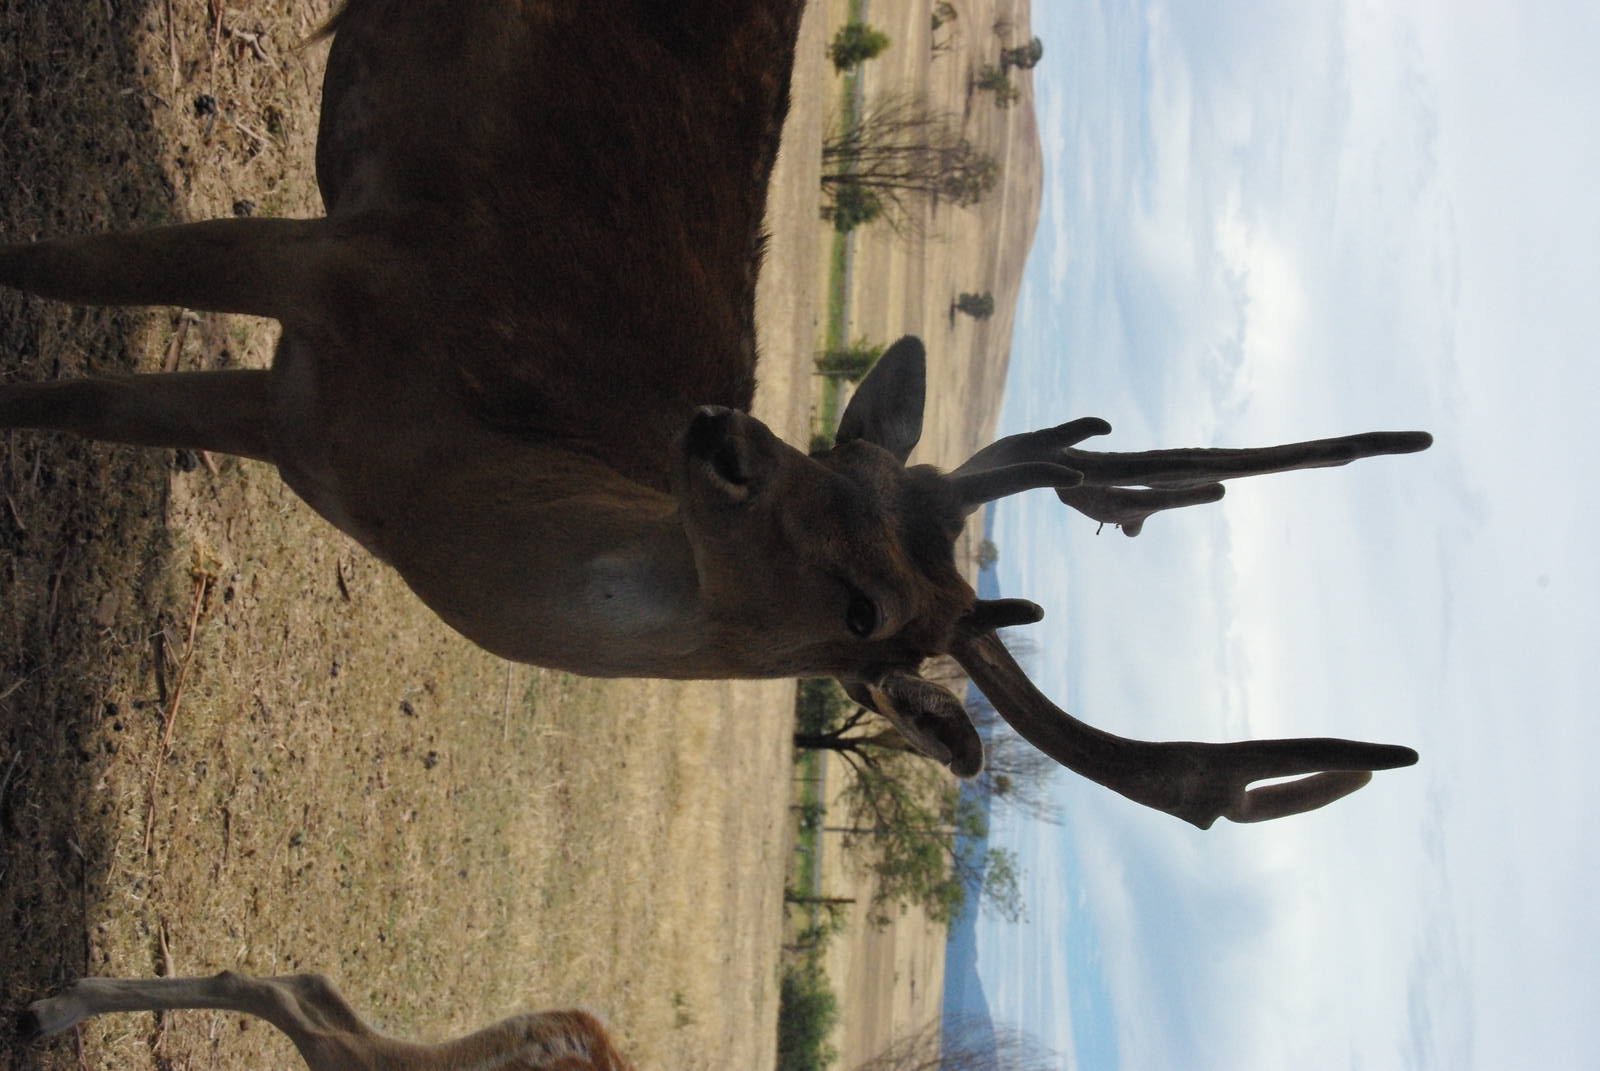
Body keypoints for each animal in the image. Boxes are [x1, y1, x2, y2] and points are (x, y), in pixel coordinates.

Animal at [0, 2, 1430, 830]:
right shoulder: (355, 266)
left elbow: (76, 397)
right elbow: (49, 289)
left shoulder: (297, 400)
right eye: (832, 454)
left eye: (867, 610)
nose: (726, 441)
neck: (431, 477)